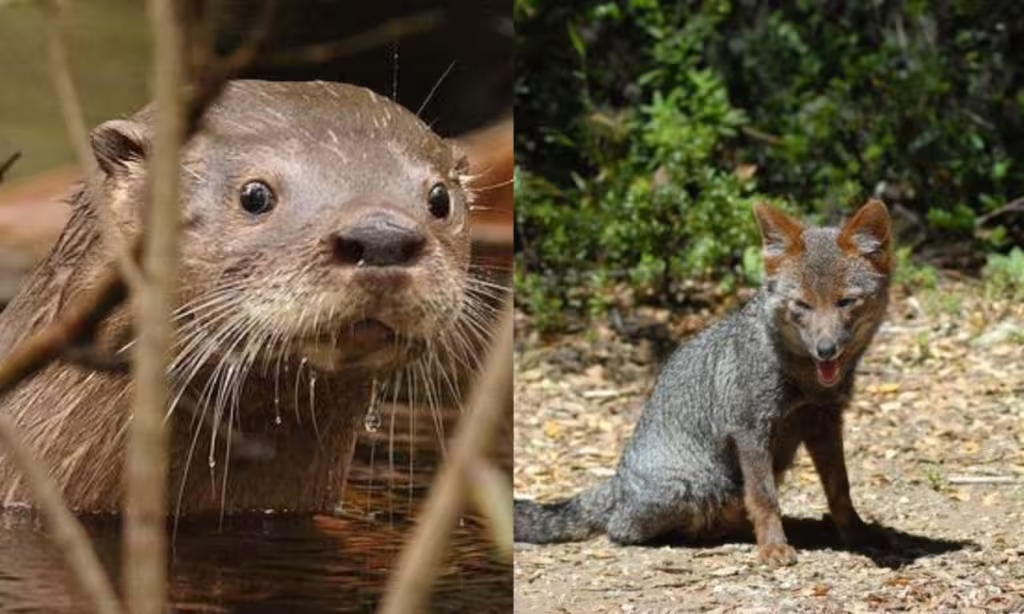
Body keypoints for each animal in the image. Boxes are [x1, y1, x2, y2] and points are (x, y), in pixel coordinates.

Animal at [514, 200, 893, 565]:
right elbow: (764, 497)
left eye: (845, 302)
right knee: (619, 528)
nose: (825, 350)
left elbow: (840, 488)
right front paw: (773, 546)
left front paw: (856, 533)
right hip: (699, 485)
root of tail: (617, 483)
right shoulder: (749, 429)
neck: (804, 380)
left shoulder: (824, 422)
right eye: (802, 304)